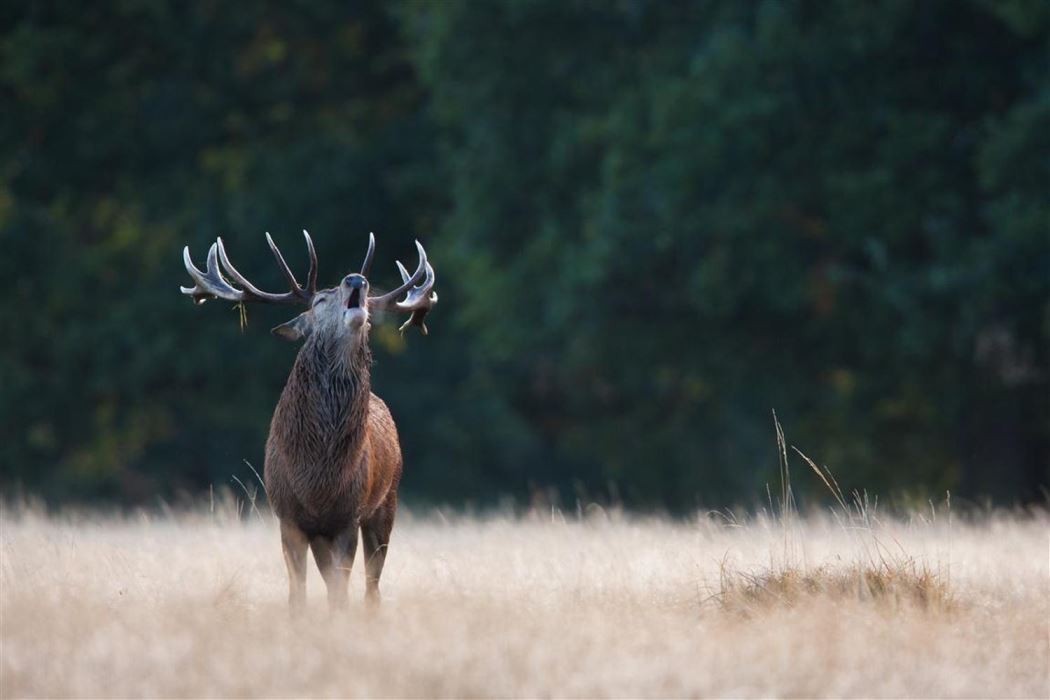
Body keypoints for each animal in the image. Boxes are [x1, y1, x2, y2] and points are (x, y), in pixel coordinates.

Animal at [180, 230, 436, 613]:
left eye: (370, 315)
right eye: (319, 300)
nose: (356, 279)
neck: (317, 474)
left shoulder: (348, 515)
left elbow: (341, 589)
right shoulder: (288, 515)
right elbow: (298, 589)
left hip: (386, 500)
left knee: (371, 583)